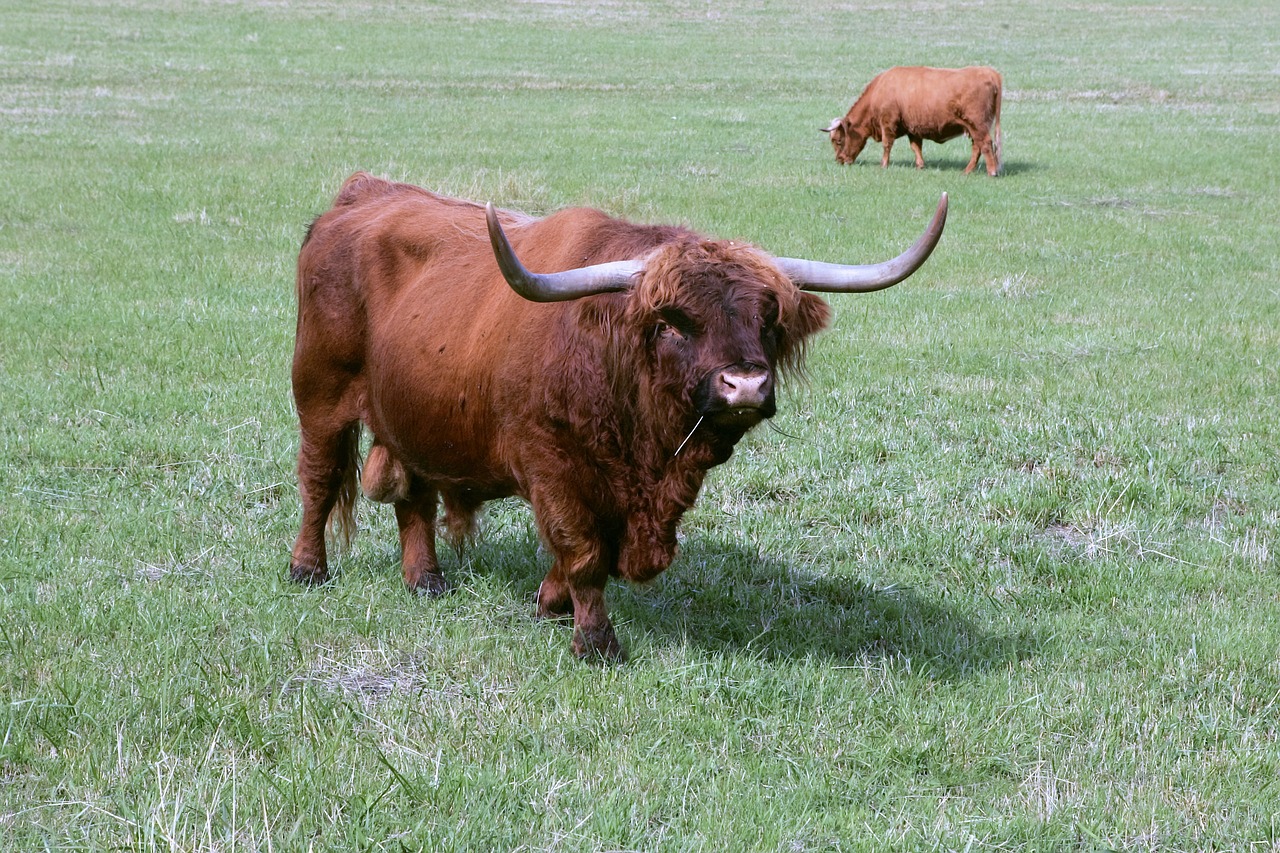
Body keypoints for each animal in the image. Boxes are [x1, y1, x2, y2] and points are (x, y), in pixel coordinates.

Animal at [289, 172, 948, 661]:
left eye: (768, 318)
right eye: (672, 323)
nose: (746, 384)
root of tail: (360, 196)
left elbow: (602, 554)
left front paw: (549, 602)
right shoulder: (551, 465)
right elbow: (583, 551)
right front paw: (594, 639)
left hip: (415, 413)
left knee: (414, 496)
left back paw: (426, 580)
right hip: (320, 394)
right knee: (319, 480)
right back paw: (307, 569)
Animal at [823, 65, 1003, 176]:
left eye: (838, 140)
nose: (839, 160)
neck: (878, 91)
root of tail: (988, 71)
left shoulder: (887, 123)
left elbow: (887, 145)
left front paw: (884, 165)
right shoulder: (913, 128)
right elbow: (916, 147)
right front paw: (920, 165)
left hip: (977, 125)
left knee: (985, 144)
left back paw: (992, 172)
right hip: (973, 128)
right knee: (978, 147)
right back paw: (967, 171)